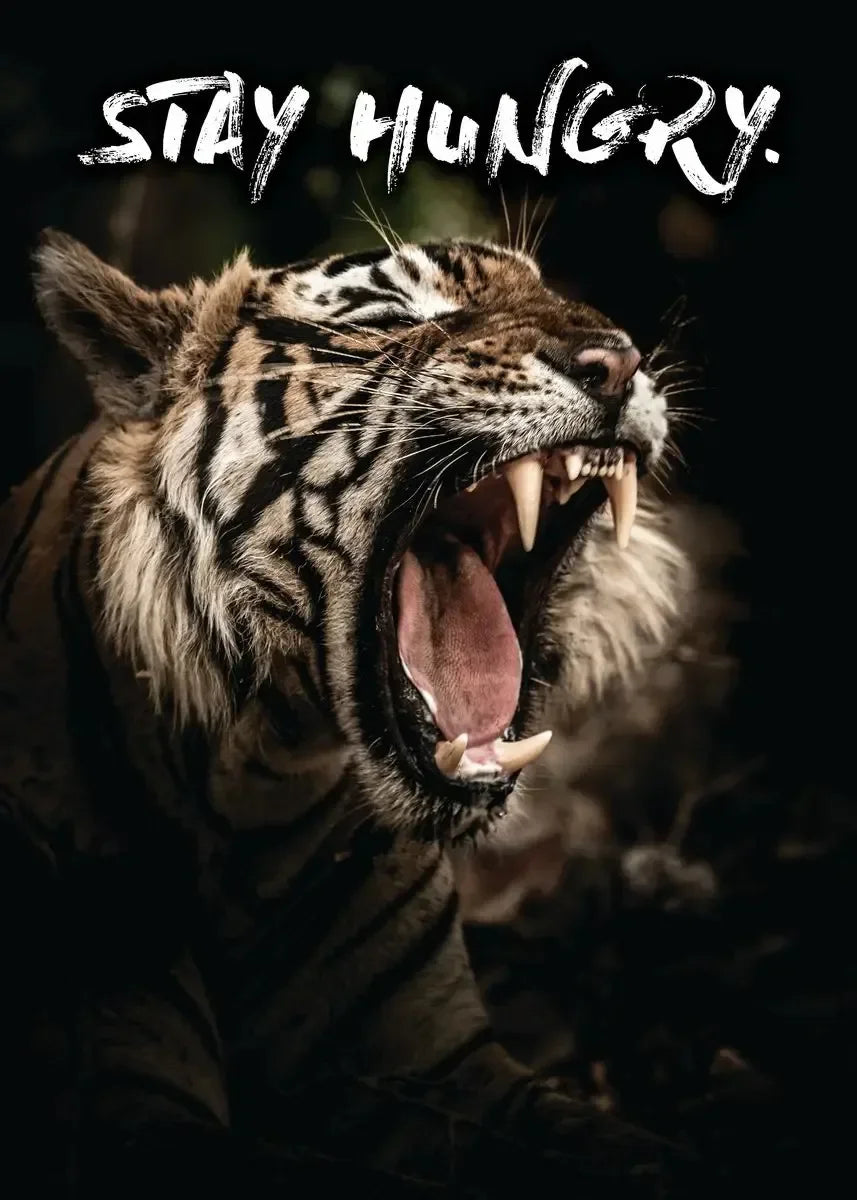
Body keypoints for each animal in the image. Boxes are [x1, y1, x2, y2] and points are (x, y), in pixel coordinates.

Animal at [0, 230, 703, 1195]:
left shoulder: (446, 1067)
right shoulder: (131, 1104)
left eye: (554, 293)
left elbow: (635, 1153)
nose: (619, 360)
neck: (258, 783)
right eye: (392, 315)